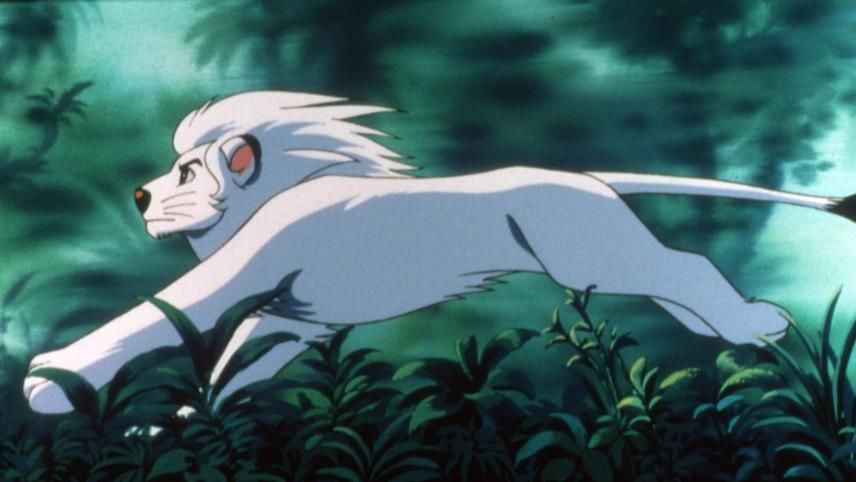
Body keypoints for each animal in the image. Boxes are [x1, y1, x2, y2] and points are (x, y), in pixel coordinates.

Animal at [23, 91, 856, 413]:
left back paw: (753, 328)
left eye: (188, 173)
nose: (138, 196)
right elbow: (234, 368)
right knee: (677, 279)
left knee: (689, 267)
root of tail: (583, 175)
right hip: (606, 251)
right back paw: (739, 329)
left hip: (587, 255)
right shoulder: (295, 323)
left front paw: (49, 383)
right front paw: (185, 423)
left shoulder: (243, 278)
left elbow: (152, 318)